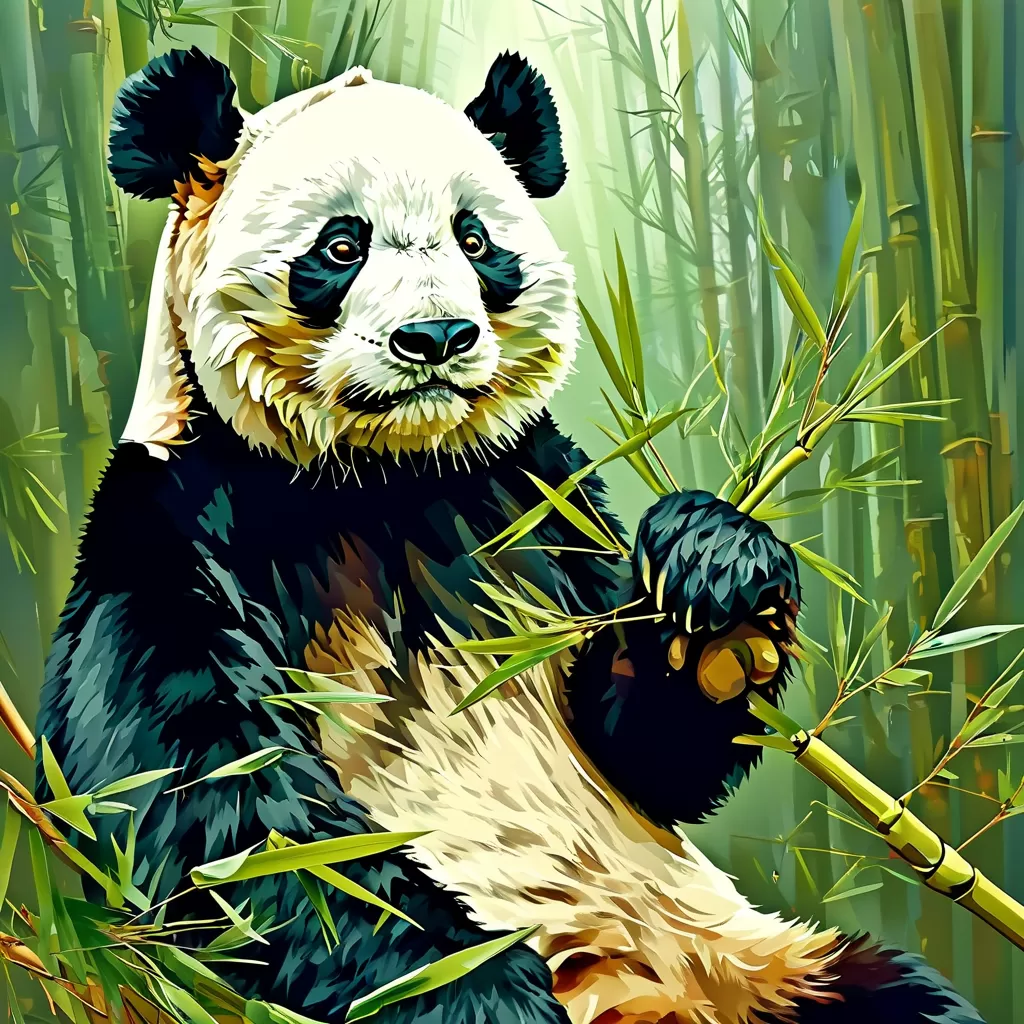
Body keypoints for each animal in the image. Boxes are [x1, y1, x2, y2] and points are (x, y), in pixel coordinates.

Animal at [35, 46, 982, 1024]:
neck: (380, 478)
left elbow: (643, 753)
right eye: (341, 246)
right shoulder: (170, 523)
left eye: (475, 240)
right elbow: (216, 809)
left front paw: (717, 591)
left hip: (761, 964)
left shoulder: (533, 500)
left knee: (903, 996)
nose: (437, 336)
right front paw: (484, 990)